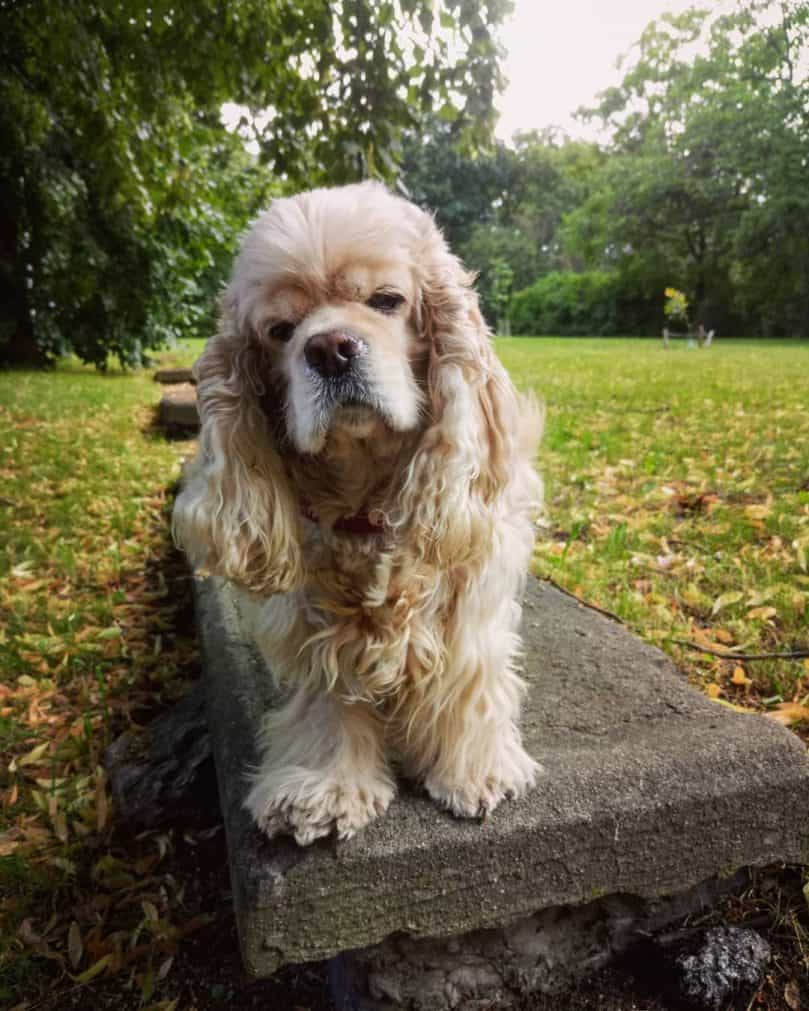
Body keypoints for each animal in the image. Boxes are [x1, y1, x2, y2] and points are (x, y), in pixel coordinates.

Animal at [174, 181, 542, 845]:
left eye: (387, 300)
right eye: (280, 329)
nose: (330, 348)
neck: (366, 491)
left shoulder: (469, 580)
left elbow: (469, 671)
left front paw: (474, 769)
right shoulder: (312, 612)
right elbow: (327, 689)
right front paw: (323, 787)